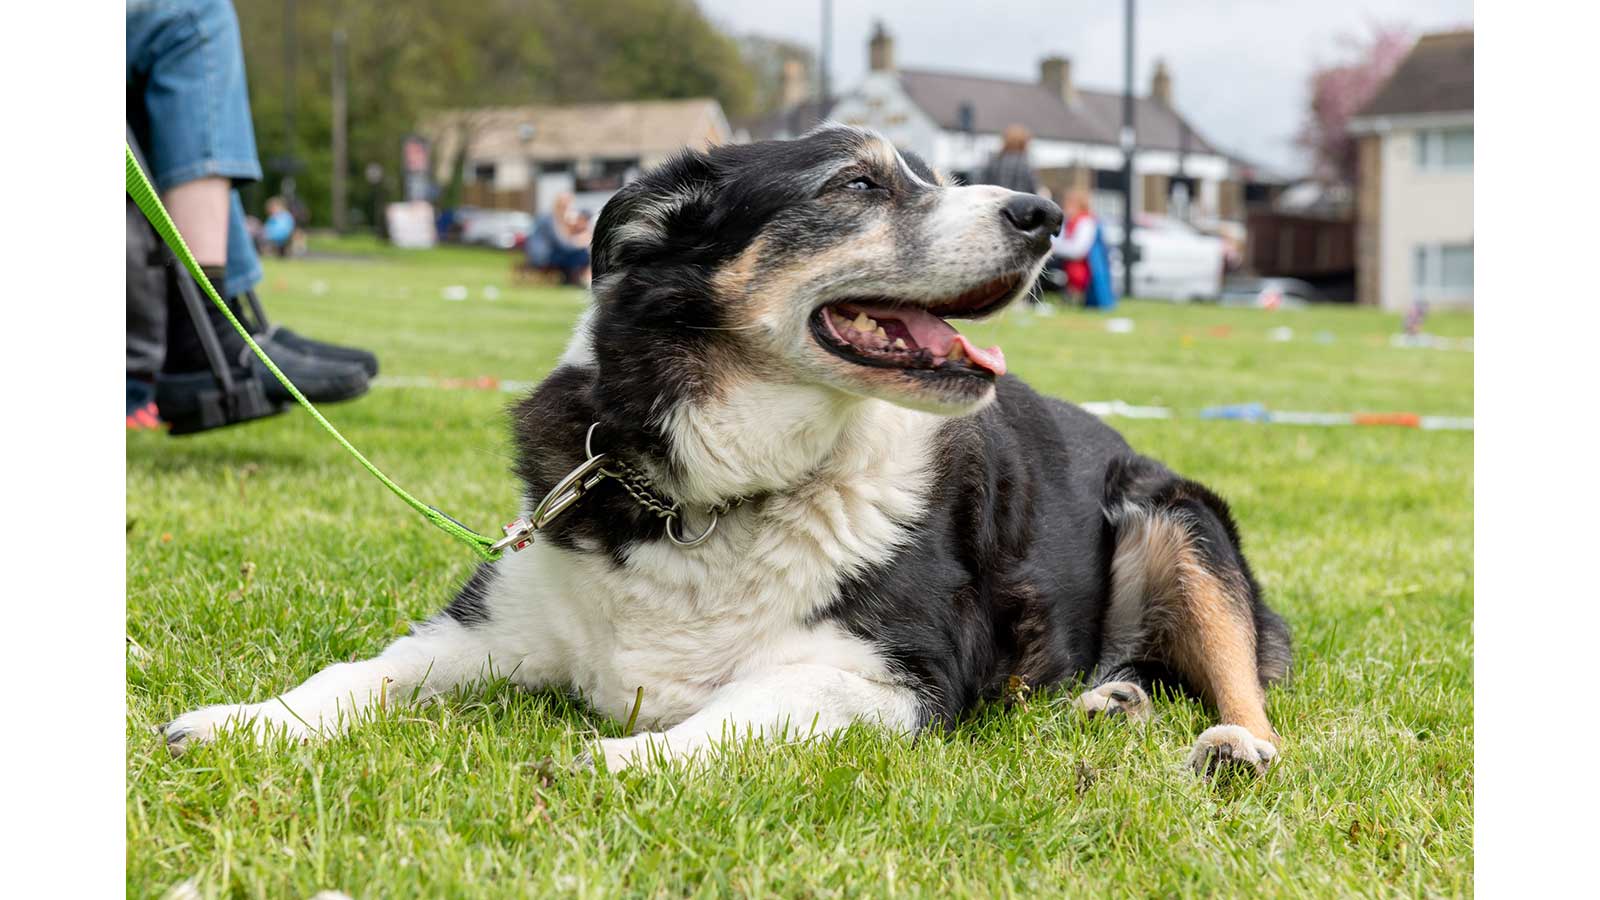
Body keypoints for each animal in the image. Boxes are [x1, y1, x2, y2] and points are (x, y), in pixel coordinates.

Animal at [159, 124, 1286, 771]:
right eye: (856, 186)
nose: (1045, 213)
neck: (713, 497)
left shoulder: (892, 678)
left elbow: (739, 710)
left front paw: (618, 762)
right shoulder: (487, 625)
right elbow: (359, 672)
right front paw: (245, 721)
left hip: (1176, 521)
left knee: (1247, 682)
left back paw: (1230, 744)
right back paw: (1111, 701)